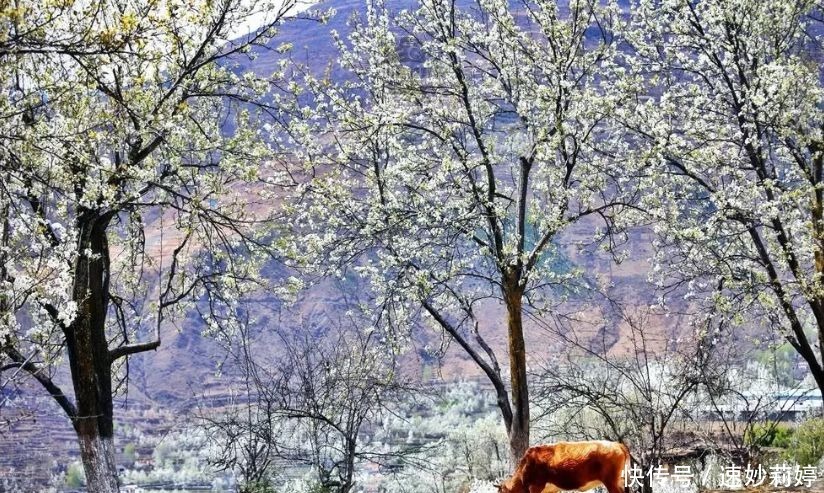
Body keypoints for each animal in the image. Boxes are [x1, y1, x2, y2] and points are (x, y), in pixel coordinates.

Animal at [496, 440, 632, 492]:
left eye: (500, 491)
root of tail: (617, 444)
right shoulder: (551, 490)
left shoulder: (535, 486)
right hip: (621, 481)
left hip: (611, 482)